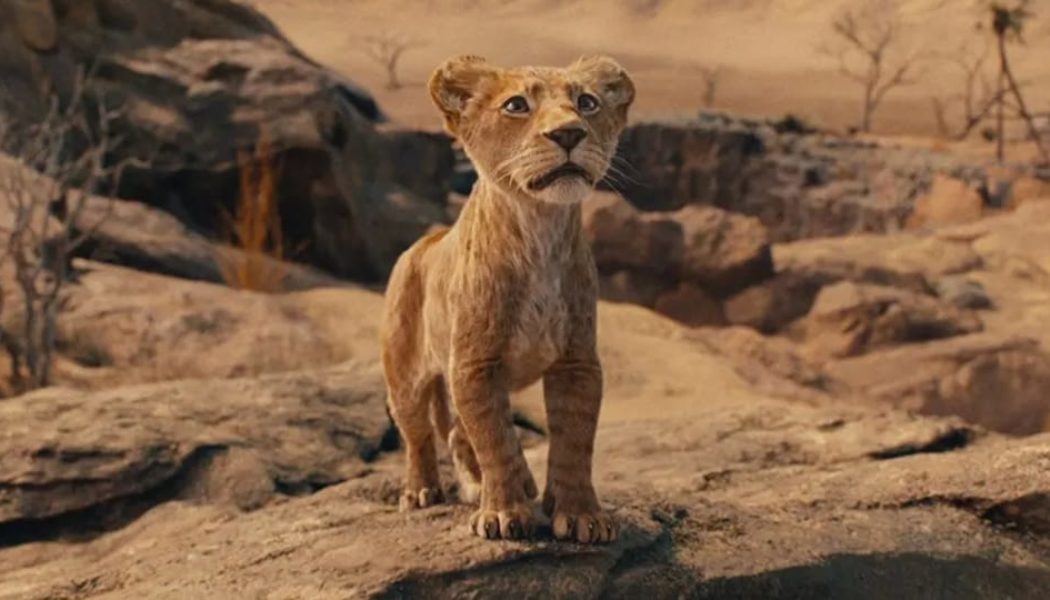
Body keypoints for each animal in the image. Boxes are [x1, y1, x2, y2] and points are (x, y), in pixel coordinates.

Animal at [380, 55, 635, 544]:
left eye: (586, 102)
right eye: (516, 105)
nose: (568, 133)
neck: (539, 231)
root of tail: (424, 241)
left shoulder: (577, 362)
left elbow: (575, 440)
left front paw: (580, 514)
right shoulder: (475, 365)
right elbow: (495, 439)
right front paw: (502, 514)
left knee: (459, 434)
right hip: (405, 376)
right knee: (420, 435)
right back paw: (421, 491)